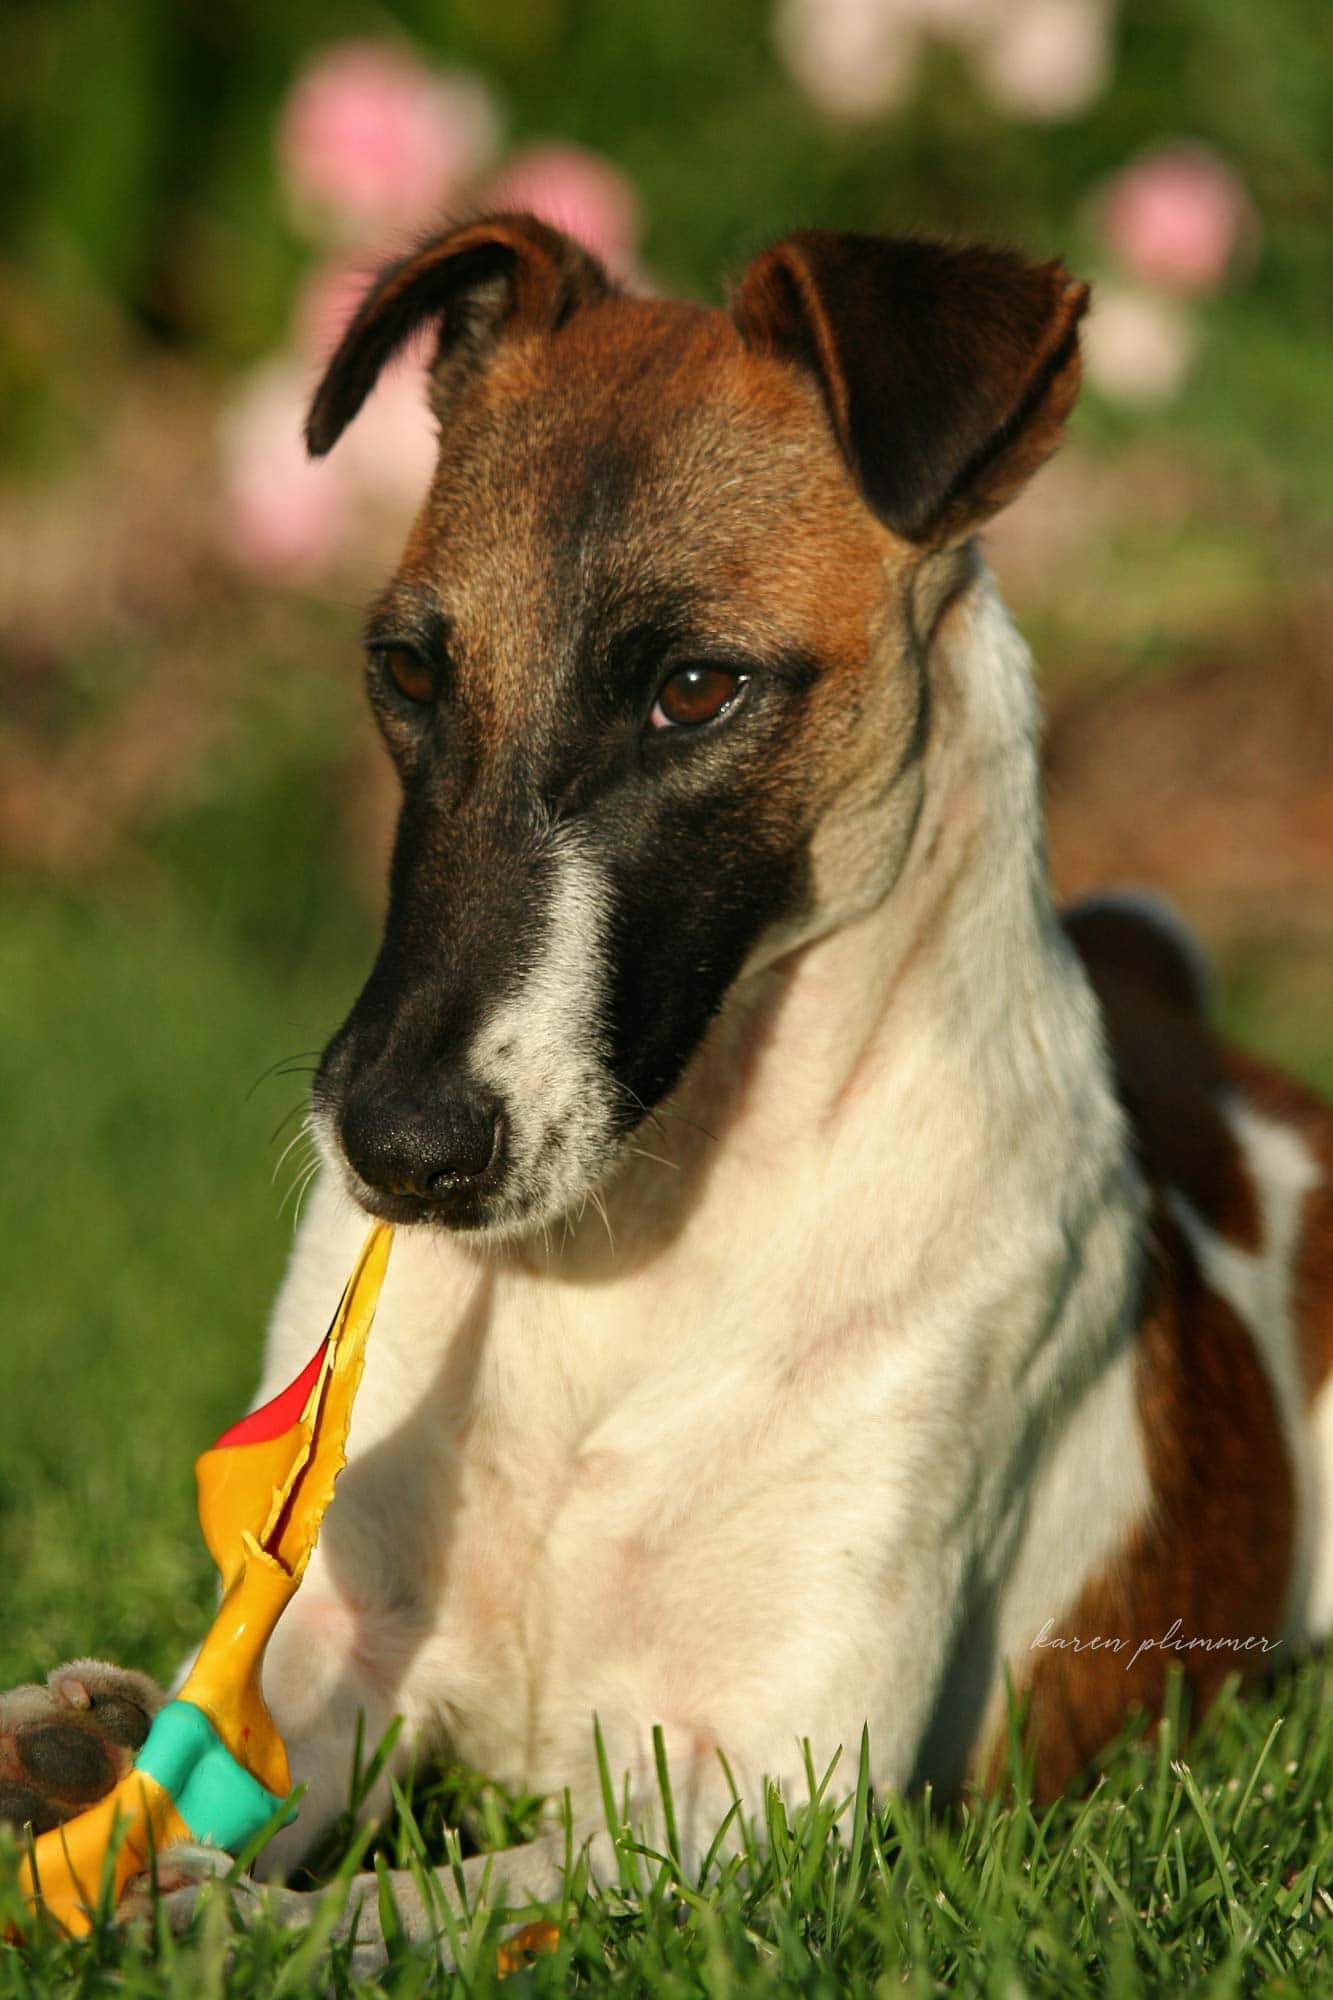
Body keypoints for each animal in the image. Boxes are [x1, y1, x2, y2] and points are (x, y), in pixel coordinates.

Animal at [2, 215, 1328, 1952]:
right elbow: (238, 1732)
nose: (396, 1149)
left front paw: (205, 1917)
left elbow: (413, 1907)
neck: (621, 1265)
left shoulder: (759, 1791)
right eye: (407, 670)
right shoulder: (344, 1639)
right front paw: (98, 1776)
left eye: (695, 688)